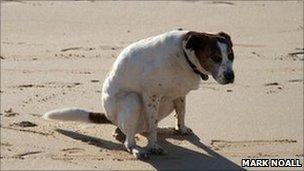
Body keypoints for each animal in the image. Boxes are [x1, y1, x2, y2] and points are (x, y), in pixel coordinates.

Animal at [44, 29, 235, 159]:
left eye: (231, 56)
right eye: (216, 57)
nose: (231, 76)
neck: (184, 56)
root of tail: (109, 116)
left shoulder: (179, 94)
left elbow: (181, 113)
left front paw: (181, 129)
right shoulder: (151, 95)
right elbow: (153, 125)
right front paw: (153, 146)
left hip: (165, 104)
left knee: (139, 129)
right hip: (133, 100)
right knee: (129, 139)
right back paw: (137, 149)